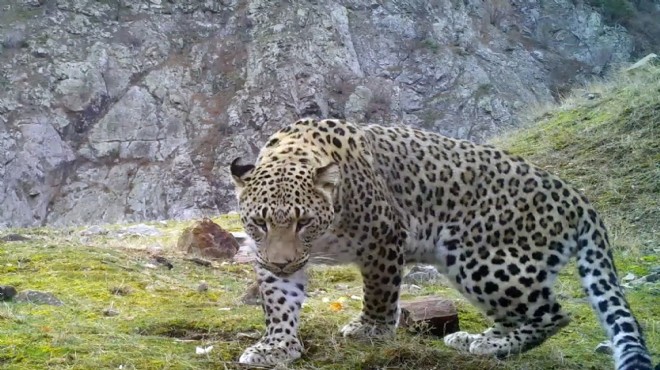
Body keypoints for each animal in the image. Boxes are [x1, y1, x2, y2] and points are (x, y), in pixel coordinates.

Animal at [229, 118, 652, 370]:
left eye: (304, 222)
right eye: (261, 223)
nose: (282, 262)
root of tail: (576, 197)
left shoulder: (385, 237)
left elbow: (380, 292)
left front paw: (371, 330)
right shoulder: (272, 259)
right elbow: (280, 303)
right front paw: (276, 346)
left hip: (484, 261)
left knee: (553, 314)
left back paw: (489, 347)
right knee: (521, 315)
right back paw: (476, 340)